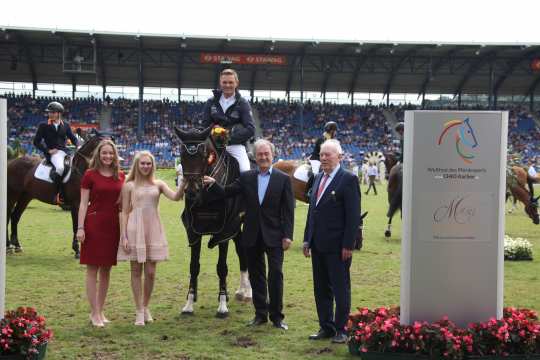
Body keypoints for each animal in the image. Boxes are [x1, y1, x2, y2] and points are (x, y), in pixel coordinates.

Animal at [174, 126, 248, 318]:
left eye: (203, 155)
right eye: (181, 155)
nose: (191, 191)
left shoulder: (224, 231)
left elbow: (221, 267)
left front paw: (222, 306)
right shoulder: (193, 231)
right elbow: (194, 266)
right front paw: (189, 304)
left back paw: (247, 292)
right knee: (242, 250)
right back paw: (241, 291)